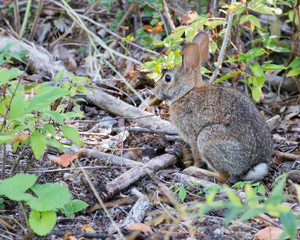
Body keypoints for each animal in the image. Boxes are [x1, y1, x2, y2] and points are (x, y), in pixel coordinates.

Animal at [154, 31, 274, 182]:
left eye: (168, 78)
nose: (155, 90)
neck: (186, 91)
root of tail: (252, 166)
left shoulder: (192, 135)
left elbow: (196, 156)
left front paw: (194, 165)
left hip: (207, 138)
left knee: (224, 176)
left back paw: (193, 171)